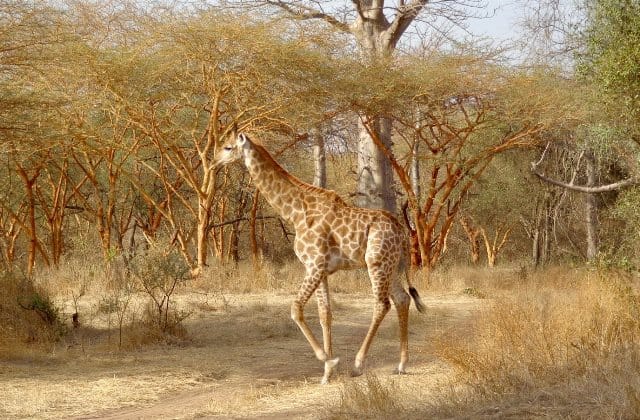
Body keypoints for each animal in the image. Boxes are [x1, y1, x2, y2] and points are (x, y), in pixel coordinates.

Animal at [214, 127, 425, 384]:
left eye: (227, 147)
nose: (213, 162)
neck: (294, 212)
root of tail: (402, 231)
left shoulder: (313, 265)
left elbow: (296, 308)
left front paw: (328, 359)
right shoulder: (321, 269)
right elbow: (325, 314)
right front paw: (327, 373)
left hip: (376, 263)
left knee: (382, 304)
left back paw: (358, 364)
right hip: (390, 265)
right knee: (402, 299)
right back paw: (401, 364)